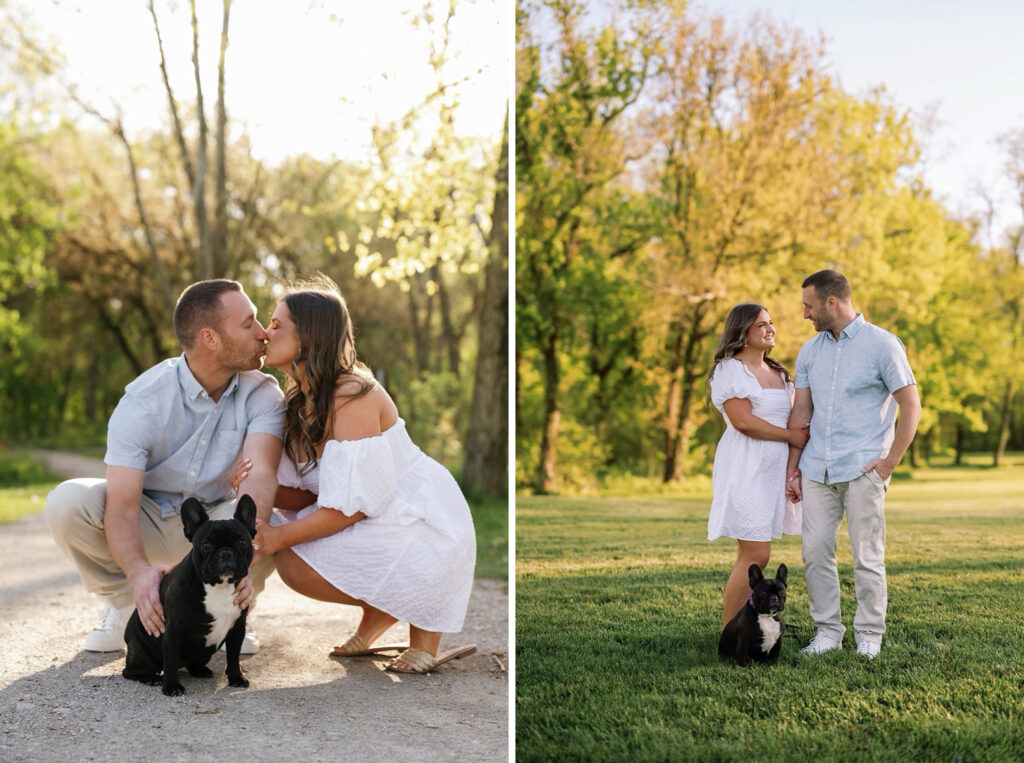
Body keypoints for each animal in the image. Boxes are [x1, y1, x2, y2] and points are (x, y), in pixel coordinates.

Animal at [121, 493, 256, 696]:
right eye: (206, 545)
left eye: (242, 542)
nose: (226, 553)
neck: (219, 586)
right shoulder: (174, 629)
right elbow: (170, 659)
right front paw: (171, 686)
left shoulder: (237, 627)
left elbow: (233, 656)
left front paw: (236, 678)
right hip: (142, 654)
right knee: (131, 671)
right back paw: (152, 678)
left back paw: (200, 670)